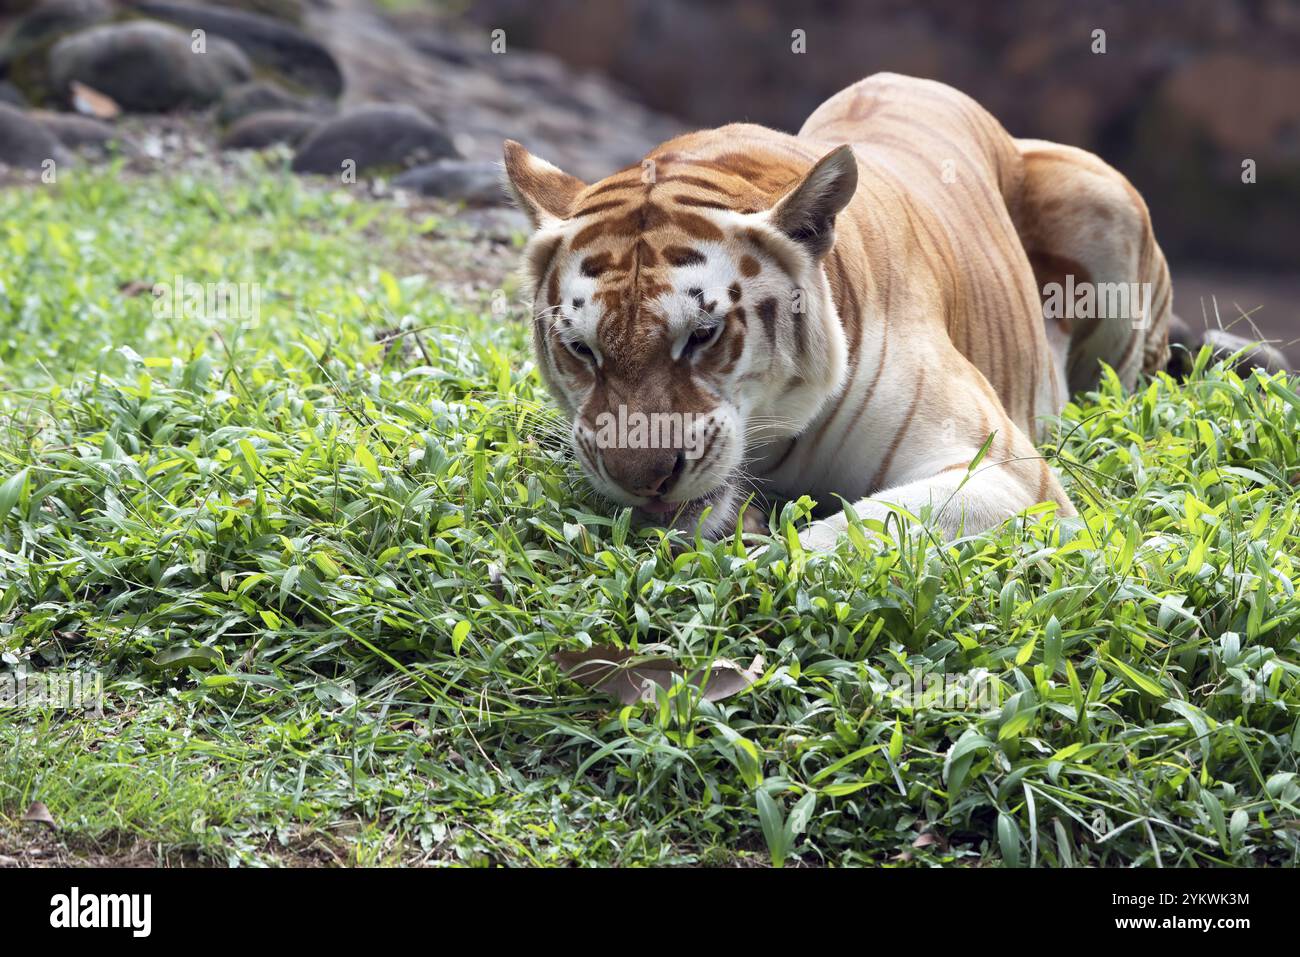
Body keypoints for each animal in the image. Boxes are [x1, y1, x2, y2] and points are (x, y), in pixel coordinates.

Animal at [501, 71, 1175, 548]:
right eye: (581, 349)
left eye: (703, 335)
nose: (644, 482)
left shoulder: (1007, 476)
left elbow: (851, 532)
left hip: (1100, 199)